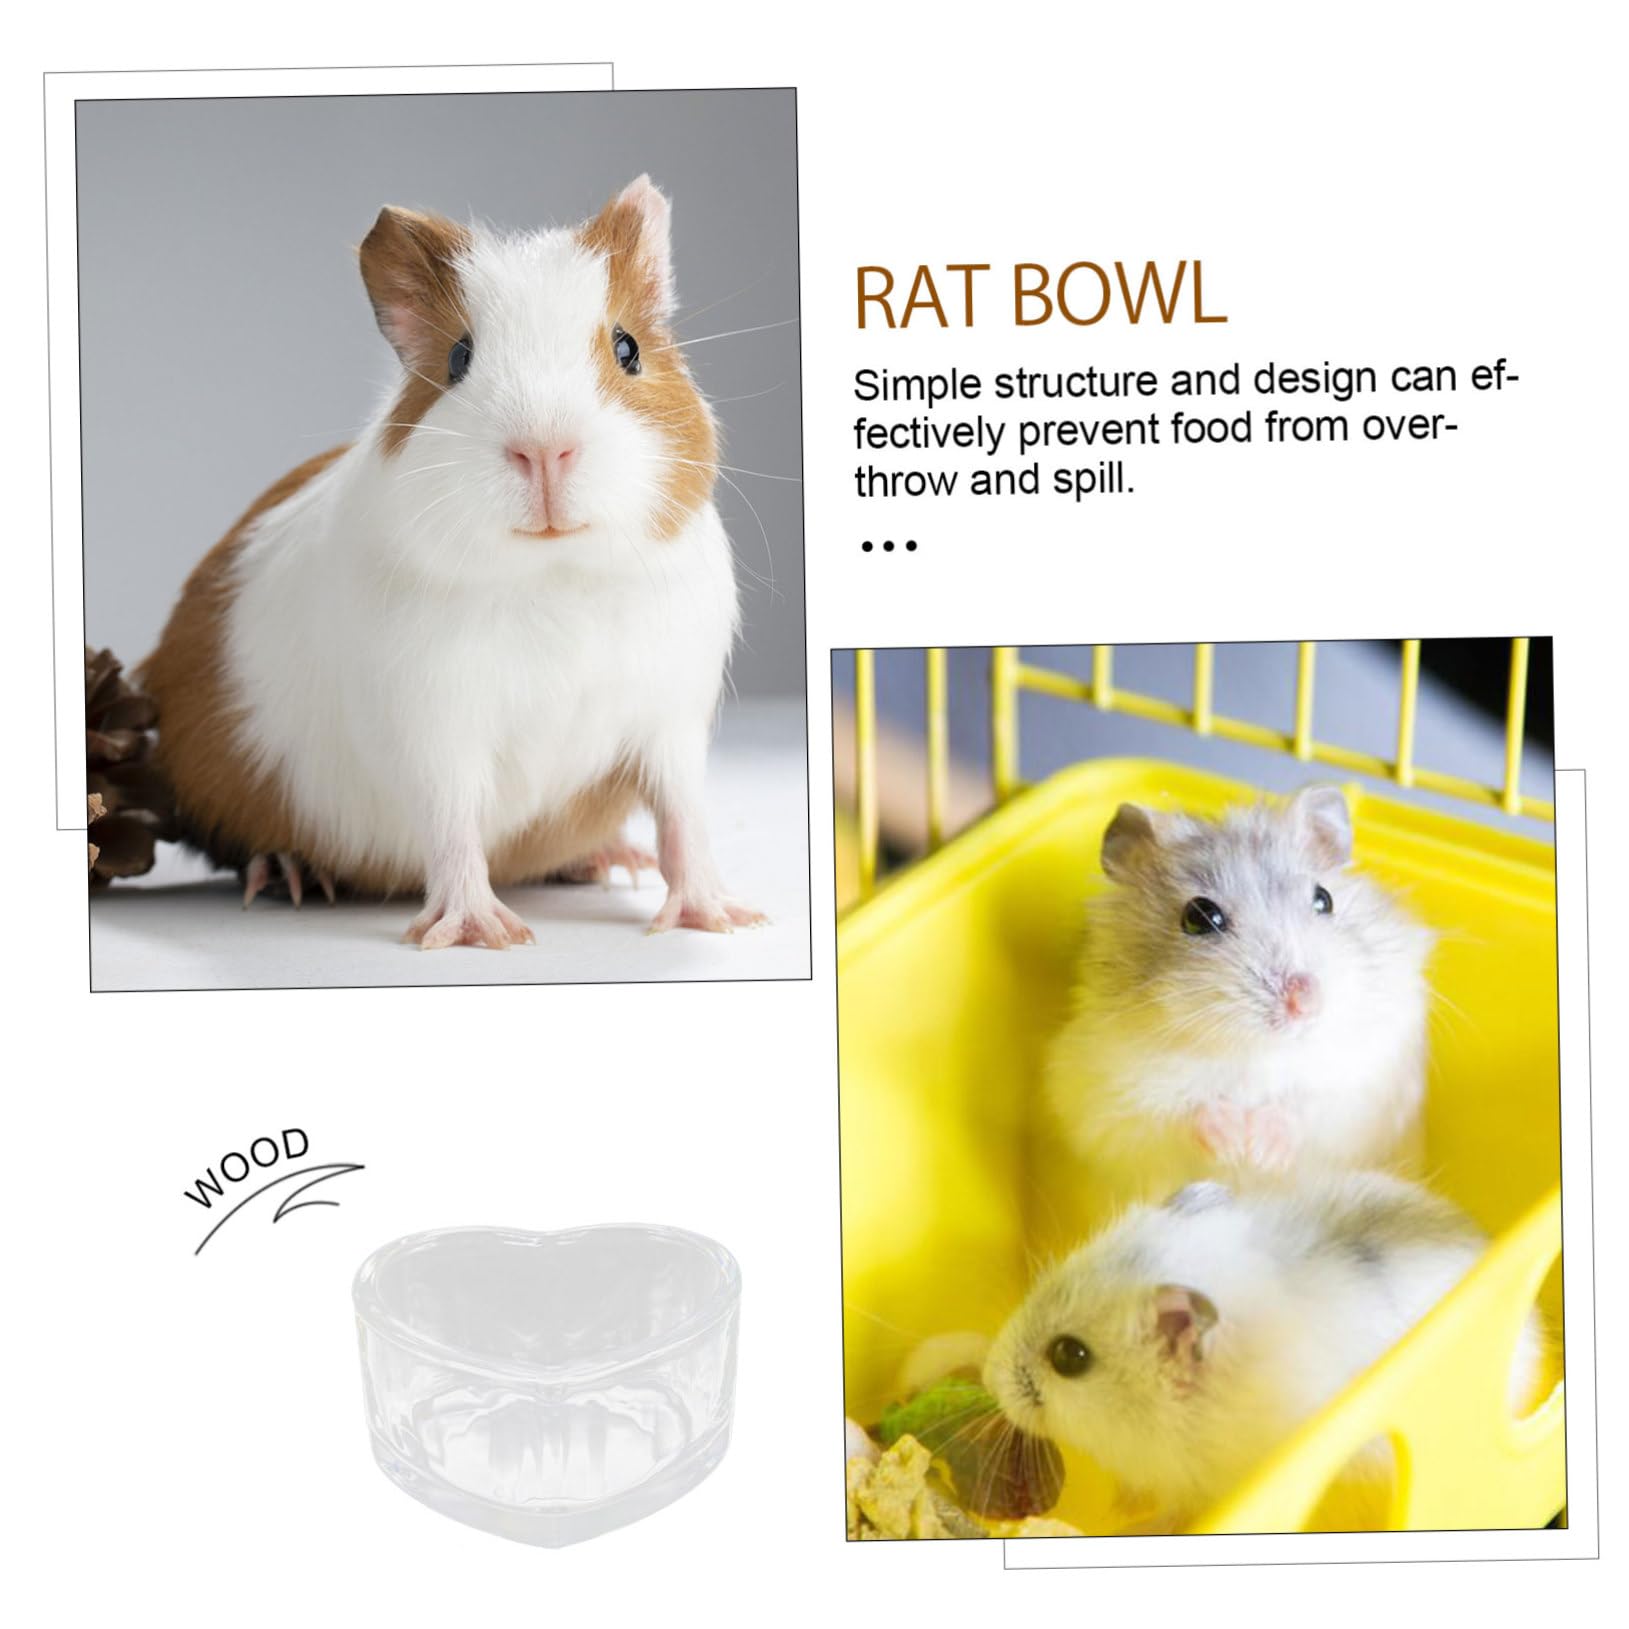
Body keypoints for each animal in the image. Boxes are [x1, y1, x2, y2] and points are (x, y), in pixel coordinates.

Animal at [139, 176, 764, 946]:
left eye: (627, 348)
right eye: (459, 359)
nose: (544, 450)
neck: (553, 577)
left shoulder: (670, 722)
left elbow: (684, 822)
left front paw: (718, 919)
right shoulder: (433, 728)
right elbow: (454, 828)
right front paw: (483, 934)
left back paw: (612, 862)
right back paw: (289, 876)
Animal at [1044, 787, 1432, 1197]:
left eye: (1324, 899)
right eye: (1199, 916)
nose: (1304, 1002)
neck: (1256, 1052)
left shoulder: (1368, 1087)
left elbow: (1308, 1109)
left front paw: (1260, 1149)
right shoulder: (1108, 1098)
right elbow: (1178, 1113)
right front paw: (1235, 1142)